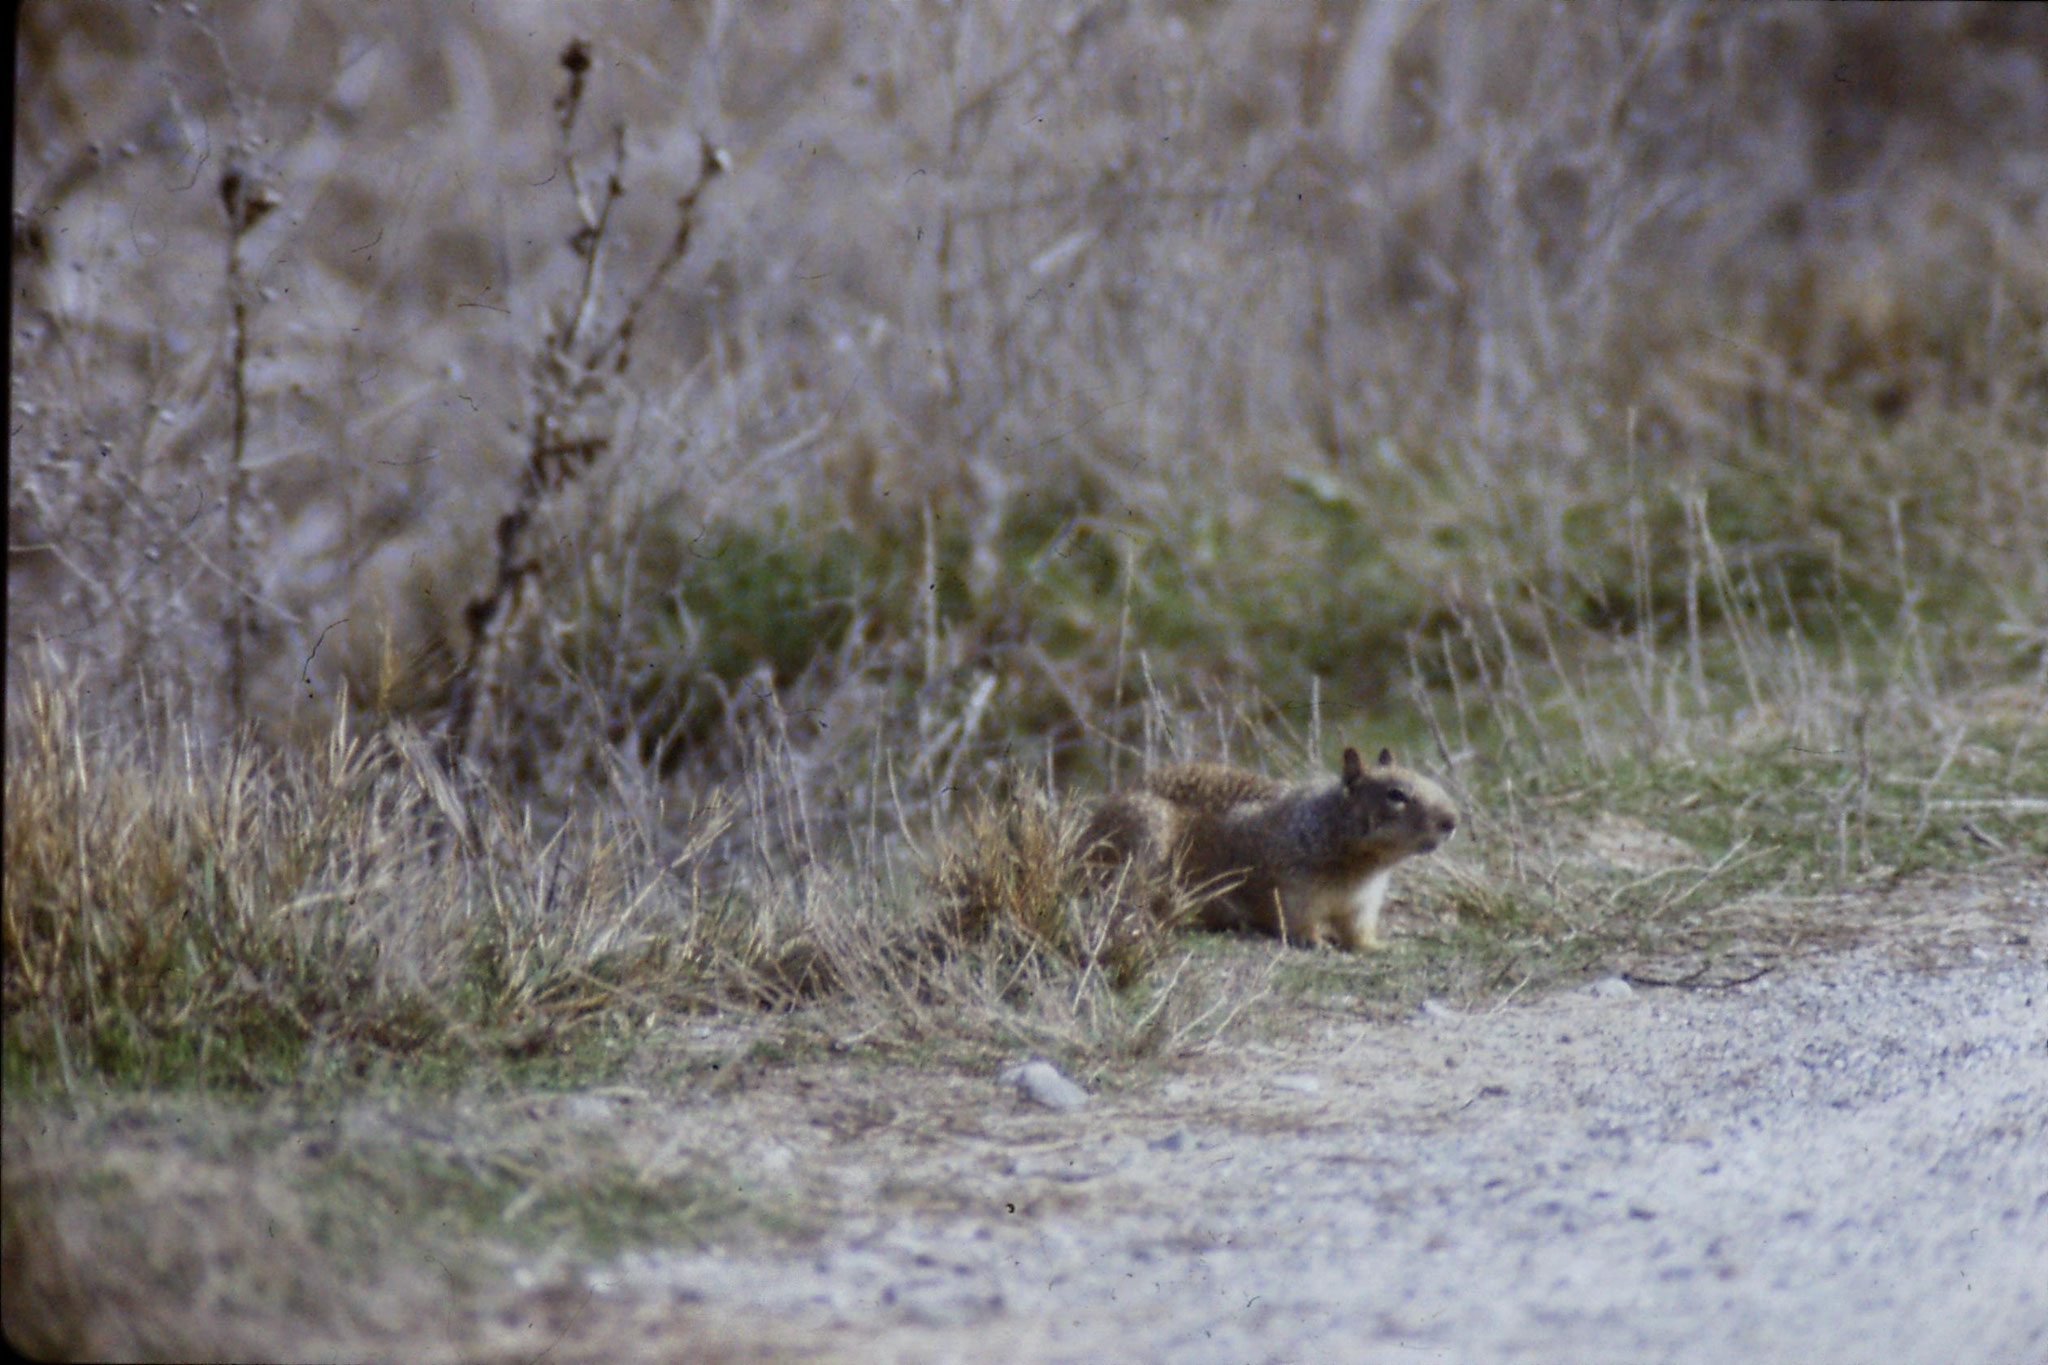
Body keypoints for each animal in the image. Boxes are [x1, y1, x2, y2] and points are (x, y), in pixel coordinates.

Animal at [1089, 749, 1458, 949]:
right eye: (1395, 794)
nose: (1451, 821)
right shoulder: (1294, 888)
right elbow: (1296, 919)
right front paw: (1314, 941)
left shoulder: (1363, 903)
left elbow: (1358, 930)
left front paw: (1376, 946)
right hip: (1146, 838)